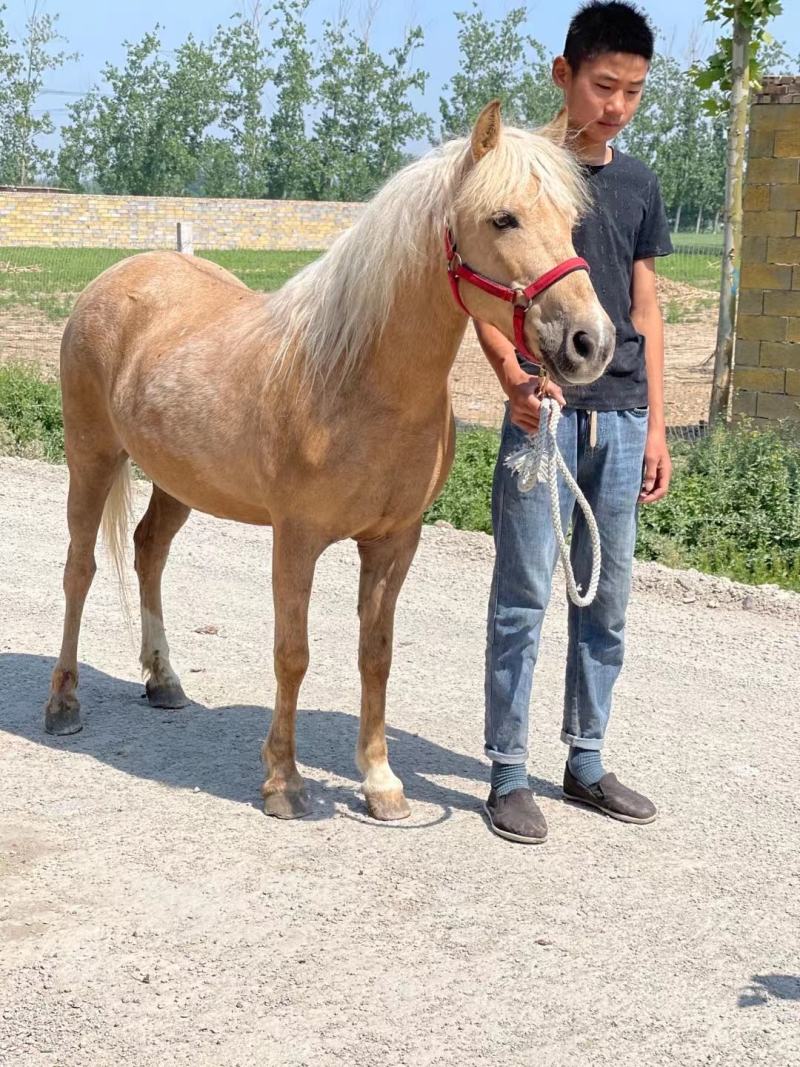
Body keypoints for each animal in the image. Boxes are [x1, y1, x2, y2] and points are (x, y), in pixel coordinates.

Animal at [44, 101, 614, 822]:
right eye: (503, 218)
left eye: (569, 221)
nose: (590, 342)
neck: (358, 381)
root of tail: (116, 277)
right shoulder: (297, 538)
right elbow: (293, 654)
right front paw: (284, 783)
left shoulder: (395, 542)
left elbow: (376, 656)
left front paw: (380, 782)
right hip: (90, 457)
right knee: (80, 570)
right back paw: (63, 702)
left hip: (178, 479)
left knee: (149, 552)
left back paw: (164, 678)